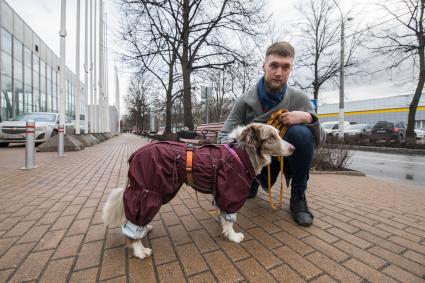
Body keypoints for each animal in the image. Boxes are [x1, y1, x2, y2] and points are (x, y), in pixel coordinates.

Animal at [102, 123, 294, 260]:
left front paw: (223, 226)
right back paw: (139, 250)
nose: (294, 148)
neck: (242, 154)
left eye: (278, 134)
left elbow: (224, 215)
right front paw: (232, 236)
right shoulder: (231, 192)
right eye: (271, 137)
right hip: (148, 192)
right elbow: (230, 219)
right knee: (131, 227)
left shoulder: (222, 193)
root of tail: (134, 155)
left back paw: (144, 229)